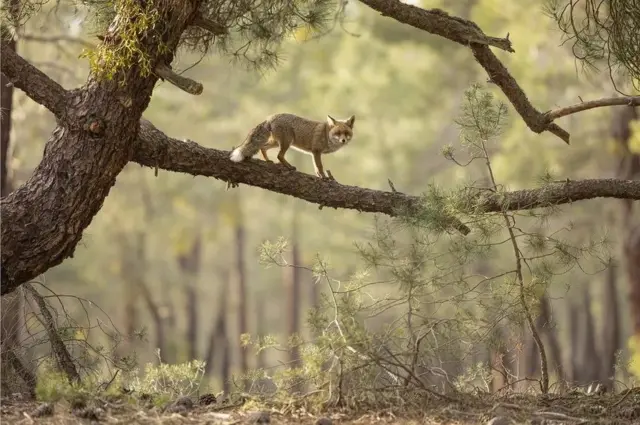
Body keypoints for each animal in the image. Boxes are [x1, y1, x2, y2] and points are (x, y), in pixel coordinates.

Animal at [228, 112, 356, 178]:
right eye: (338, 133)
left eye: (346, 133)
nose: (343, 140)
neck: (326, 134)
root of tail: (271, 117)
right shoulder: (316, 151)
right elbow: (319, 166)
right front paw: (323, 177)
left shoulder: (314, 153)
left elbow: (316, 167)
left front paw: (320, 176)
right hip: (286, 142)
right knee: (279, 156)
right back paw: (288, 167)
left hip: (276, 143)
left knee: (262, 147)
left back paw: (268, 161)